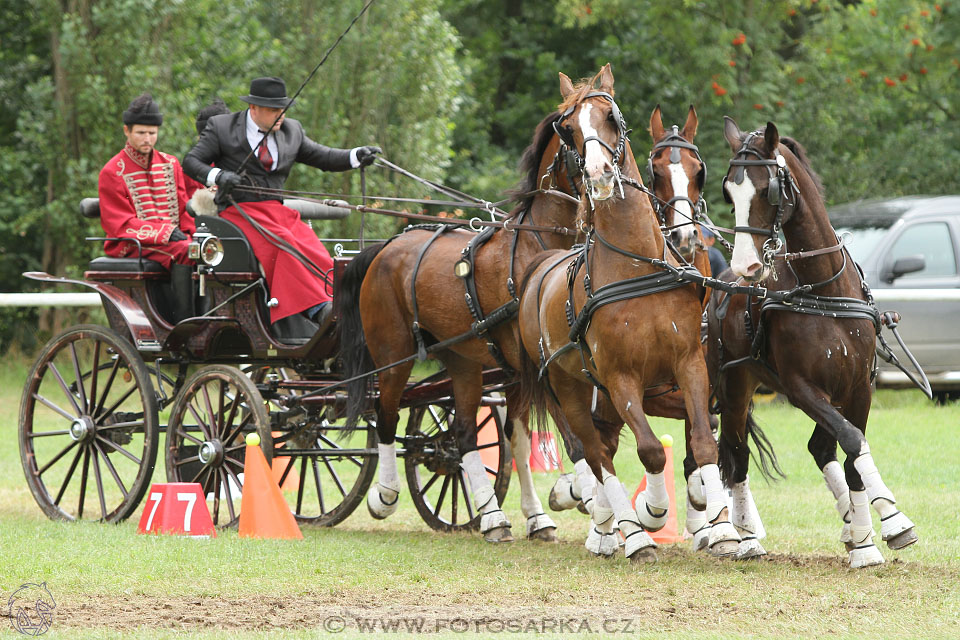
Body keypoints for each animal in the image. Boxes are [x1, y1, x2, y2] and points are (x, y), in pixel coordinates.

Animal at [512, 65, 740, 560]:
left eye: (612, 118)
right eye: (568, 129)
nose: (599, 175)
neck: (639, 267)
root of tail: (541, 268)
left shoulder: (690, 364)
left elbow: (703, 442)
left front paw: (721, 529)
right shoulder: (620, 379)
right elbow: (652, 450)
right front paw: (650, 514)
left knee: (605, 447)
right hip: (568, 388)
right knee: (593, 452)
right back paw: (621, 528)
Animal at [712, 117, 916, 568]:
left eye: (767, 188)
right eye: (729, 191)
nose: (746, 265)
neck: (823, 290)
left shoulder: (859, 387)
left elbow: (854, 450)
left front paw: (868, 536)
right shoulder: (801, 388)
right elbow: (852, 441)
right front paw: (868, 537)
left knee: (820, 447)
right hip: (734, 387)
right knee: (736, 452)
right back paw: (746, 538)